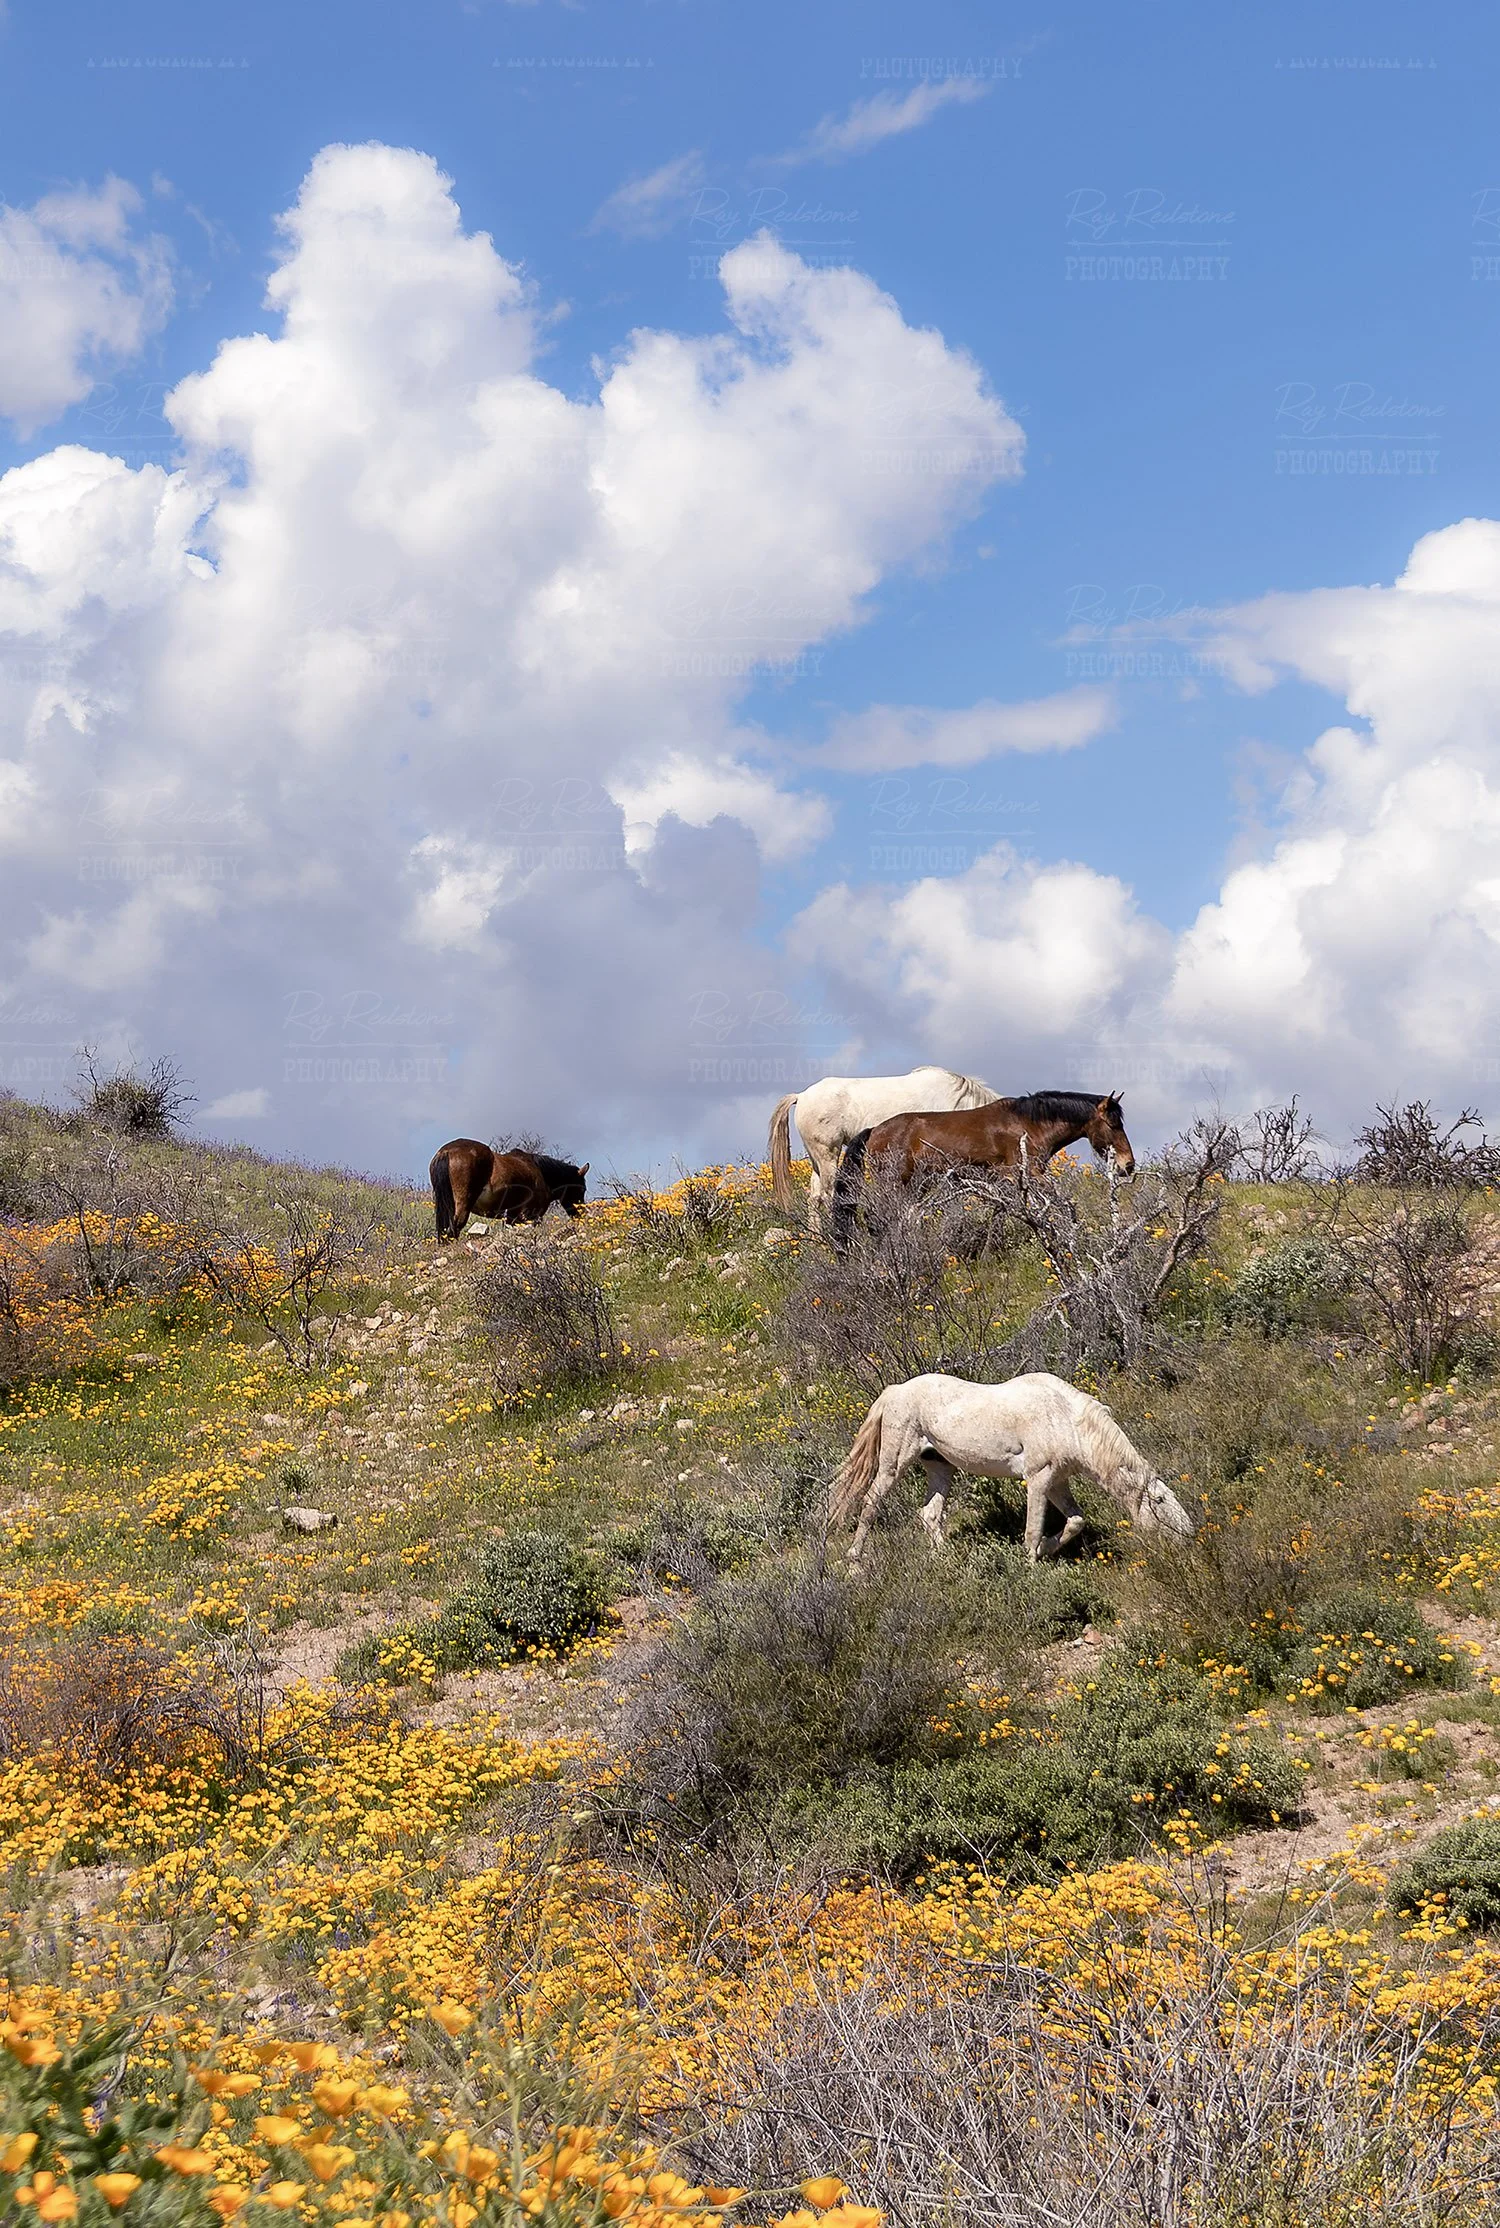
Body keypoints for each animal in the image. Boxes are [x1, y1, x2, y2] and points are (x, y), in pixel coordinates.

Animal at [429, 1140, 589, 1241]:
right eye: (582, 1189)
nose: (581, 1215)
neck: (541, 1173)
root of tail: (446, 1152)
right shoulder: (531, 1216)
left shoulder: (513, 1215)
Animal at [829, 1089, 1134, 1250]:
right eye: (1113, 1124)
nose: (1127, 1165)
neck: (1028, 1124)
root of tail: (874, 1131)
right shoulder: (1030, 1174)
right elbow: (1066, 1205)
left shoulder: (1007, 1182)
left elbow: (999, 1214)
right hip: (894, 1182)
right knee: (876, 1219)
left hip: (915, 1184)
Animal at [829, 1369, 1194, 1565]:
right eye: (1160, 1501)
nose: (1189, 1536)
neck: (1067, 1421)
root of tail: (894, 1391)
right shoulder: (1038, 1478)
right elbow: (1032, 1529)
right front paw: (1030, 1565)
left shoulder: (1057, 1481)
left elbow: (1075, 1521)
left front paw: (1046, 1549)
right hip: (895, 1462)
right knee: (871, 1502)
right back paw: (854, 1560)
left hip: (940, 1467)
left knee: (929, 1514)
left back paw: (945, 1561)